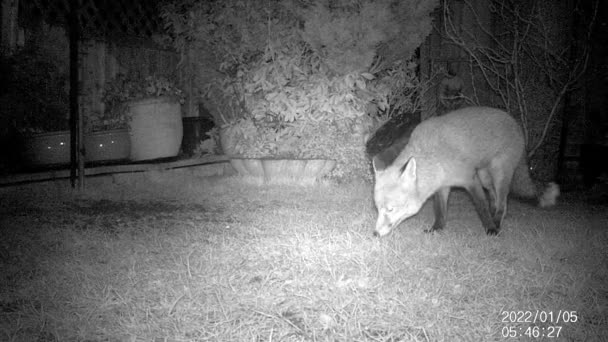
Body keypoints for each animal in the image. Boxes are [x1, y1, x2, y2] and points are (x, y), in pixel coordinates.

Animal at [372, 107, 564, 238]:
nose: (375, 233)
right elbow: (440, 212)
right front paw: (436, 229)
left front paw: (490, 228)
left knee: (503, 202)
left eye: (390, 209)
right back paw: (495, 215)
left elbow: (481, 206)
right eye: (377, 208)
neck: (436, 155)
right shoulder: (443, 186)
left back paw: (496, 222)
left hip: (499, 174)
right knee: (494, 198)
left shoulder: (470, 180)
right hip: (486, 177)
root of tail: (515, 122)